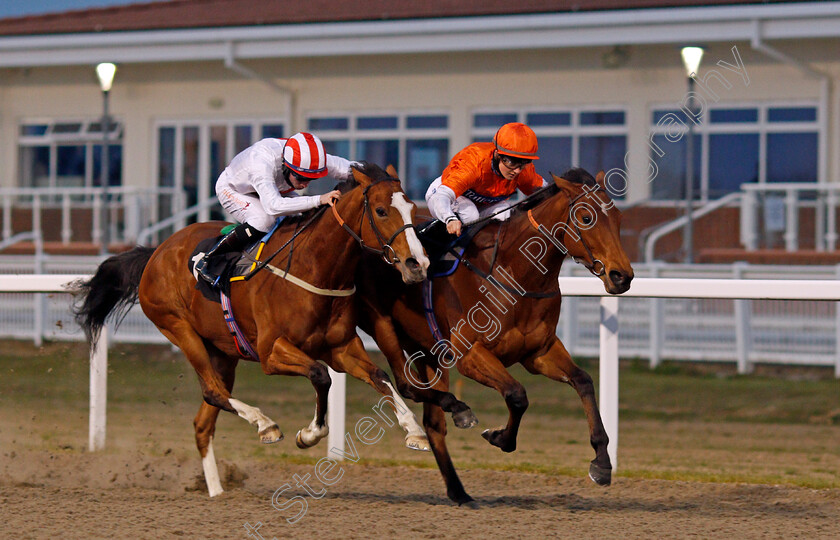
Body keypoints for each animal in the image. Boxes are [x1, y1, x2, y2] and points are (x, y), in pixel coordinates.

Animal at [72, 162, 434, 496]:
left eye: (412, 208)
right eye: (381, 211)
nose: (418, 263)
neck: (315, 265)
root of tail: (156, 252)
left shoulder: (341, 347)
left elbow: (379, 376)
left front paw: (414, 430)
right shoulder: (271, 352)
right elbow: (321, 375)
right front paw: (309, 434)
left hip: (223, 352)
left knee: (204, 420)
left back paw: (216, 490)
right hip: (178, 328)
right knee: (213, 391)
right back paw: (265, 424)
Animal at [352, 167, 632, 504]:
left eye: (618, 218)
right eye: (587, 218)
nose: (622, 276)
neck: (513, 272)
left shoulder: (538, 352)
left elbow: (583, 381)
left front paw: (601, 463)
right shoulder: (470, 355)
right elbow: (517, 394)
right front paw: (499, 437)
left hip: (428, 352)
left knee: (434, 422)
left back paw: (458, 490)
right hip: (380, 327)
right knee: (401, 384)